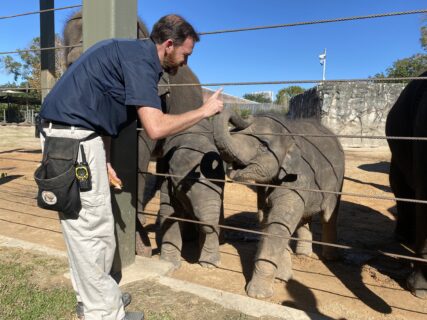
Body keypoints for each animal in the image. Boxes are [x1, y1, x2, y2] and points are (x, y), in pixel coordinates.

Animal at [212, 110, 346, 300]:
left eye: (263, 146)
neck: (288, 134)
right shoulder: (263, 187)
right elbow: (266, 219)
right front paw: (283, 278)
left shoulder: (298, 178)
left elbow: (279, 224)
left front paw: (258, 295)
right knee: (305, 217)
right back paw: (303, 255)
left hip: (338, 179)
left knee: (329, 214)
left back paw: (330, 257)